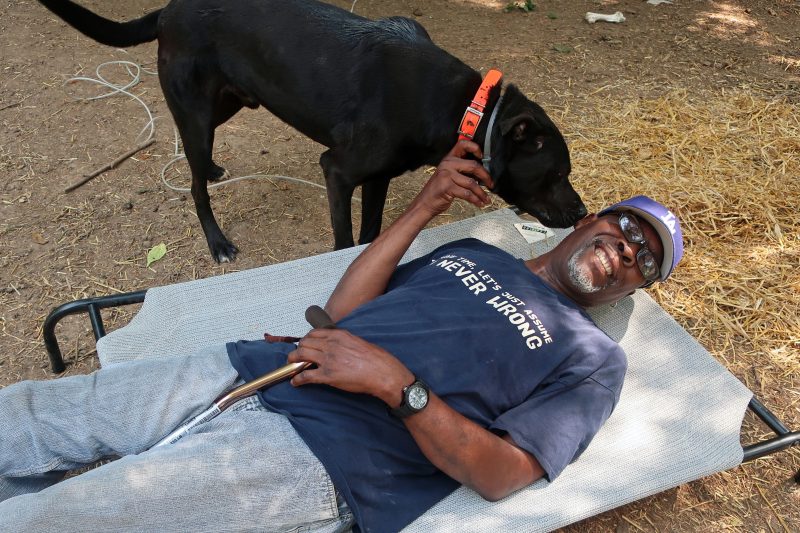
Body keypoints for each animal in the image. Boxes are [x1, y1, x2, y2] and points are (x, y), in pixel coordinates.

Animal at [39, 0, 588, 262]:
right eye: (558, 173)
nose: (583, 213)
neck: (467, 108)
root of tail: (169, 10)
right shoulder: (338, 172)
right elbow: (345, 240)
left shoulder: (378, 177)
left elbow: (371, 232)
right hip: (194, 112)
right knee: (193, 186)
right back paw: (217, 241)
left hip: (229, 102)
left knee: (202, 160)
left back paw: (214, 168)